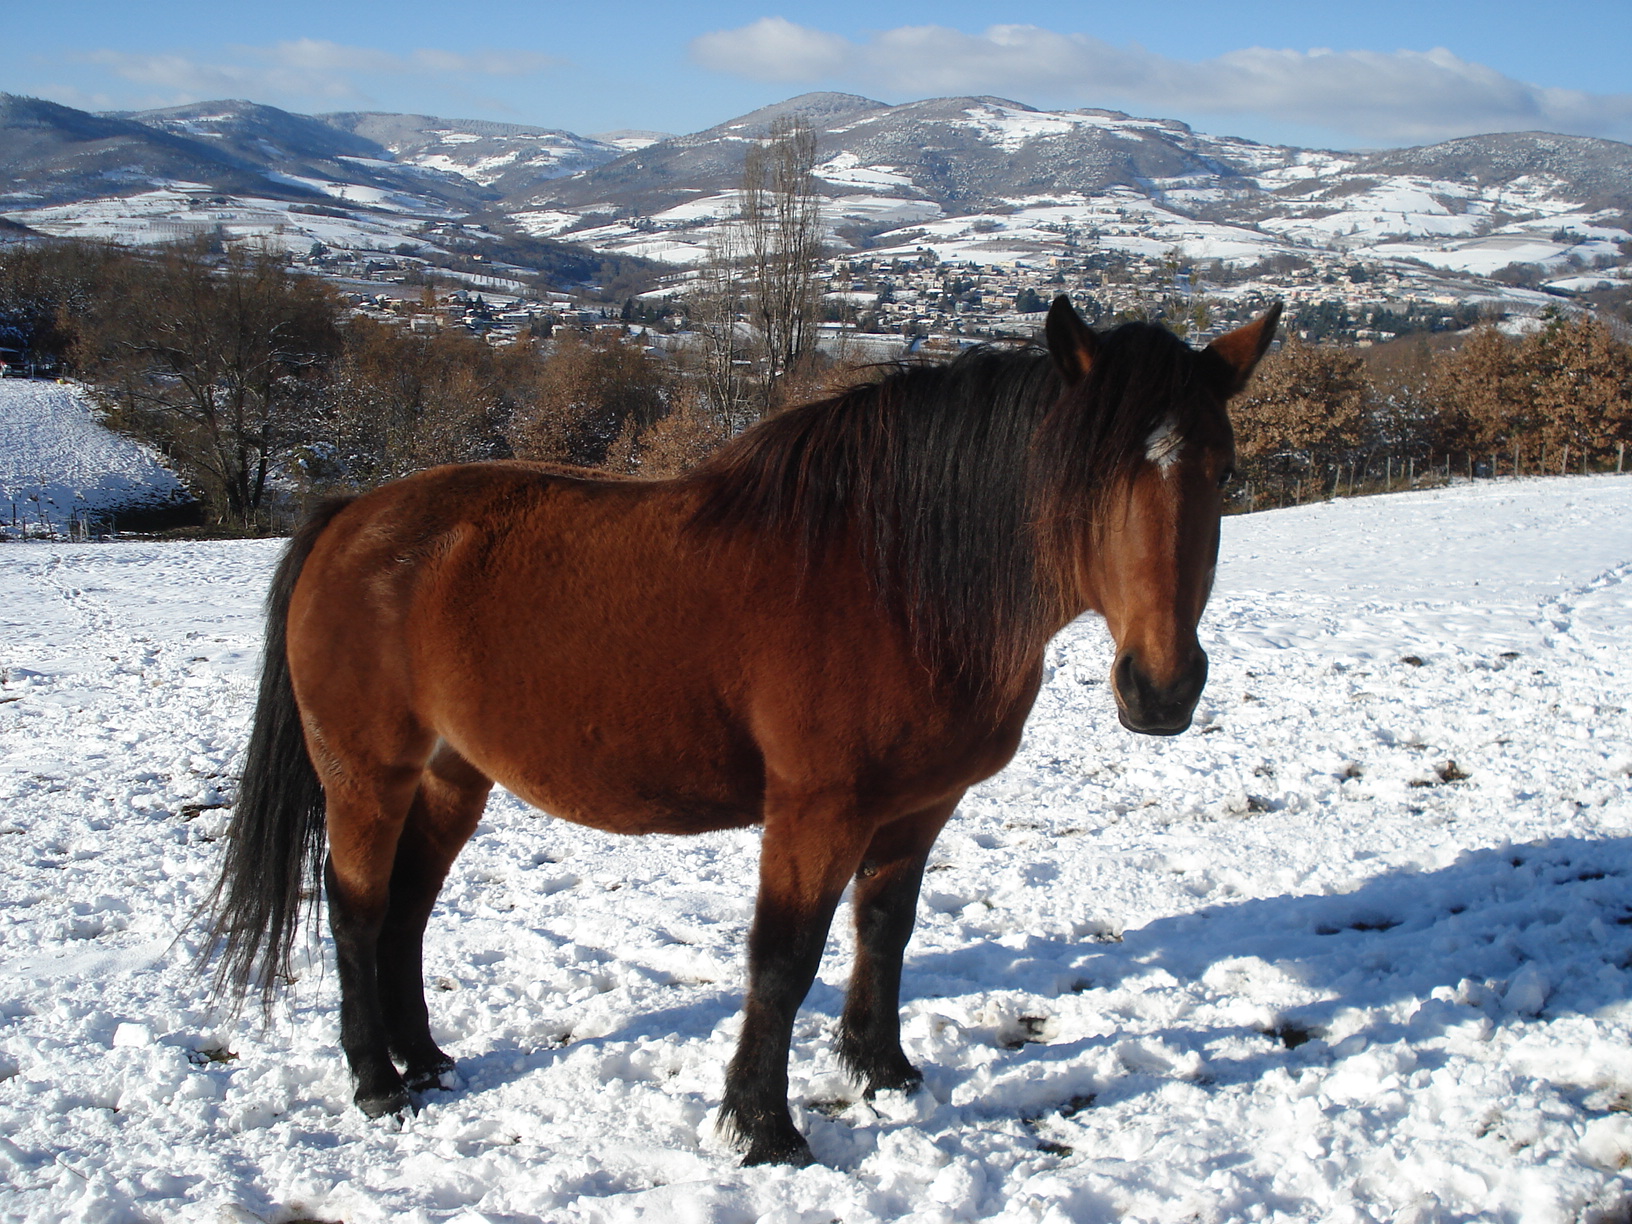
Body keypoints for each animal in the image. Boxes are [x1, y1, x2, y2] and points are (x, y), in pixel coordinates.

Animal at [204, 297, 1279, 1168]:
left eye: (1224, 471)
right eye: (1088, 477)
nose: (1162, 688)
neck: (899, 578)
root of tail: (353, 515)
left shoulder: (921, 807)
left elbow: (884, 929)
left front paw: (884, 1071)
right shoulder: (816, 810)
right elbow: (782, 959)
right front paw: (764, 1128)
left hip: (452, 776)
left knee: (409, 911)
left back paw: (424, 1060)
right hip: (368, 776)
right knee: (356, 910)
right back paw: (376, 1081)